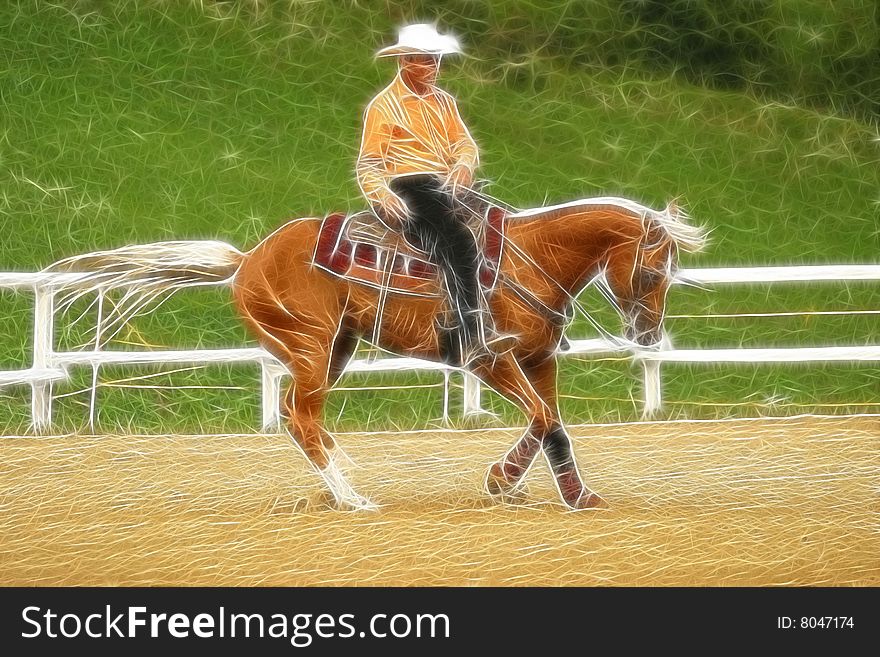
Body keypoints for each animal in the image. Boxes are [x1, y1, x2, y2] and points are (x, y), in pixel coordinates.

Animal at [48, 195, 708, 512]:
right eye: (653, 270)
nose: (649, 336)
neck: (525, 261)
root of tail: (248, 260)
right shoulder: (489, 361)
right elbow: (544, 419)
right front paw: (502, 482)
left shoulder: (538, 360)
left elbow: (552, 426)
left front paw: (570, 495)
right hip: (313, 350)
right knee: (301, 417)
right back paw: (350, 498)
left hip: (332, 350)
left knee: (301, 419)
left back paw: (341, 486)